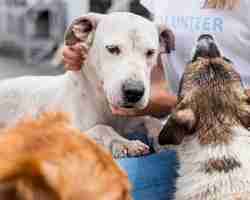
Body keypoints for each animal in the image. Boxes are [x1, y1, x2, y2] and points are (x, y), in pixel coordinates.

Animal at [0, 12, 174, 159]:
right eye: (112, 49)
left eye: (150, 52)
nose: (134, 92)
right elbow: (102, 128)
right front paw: (123, 143)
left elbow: (152, 120)